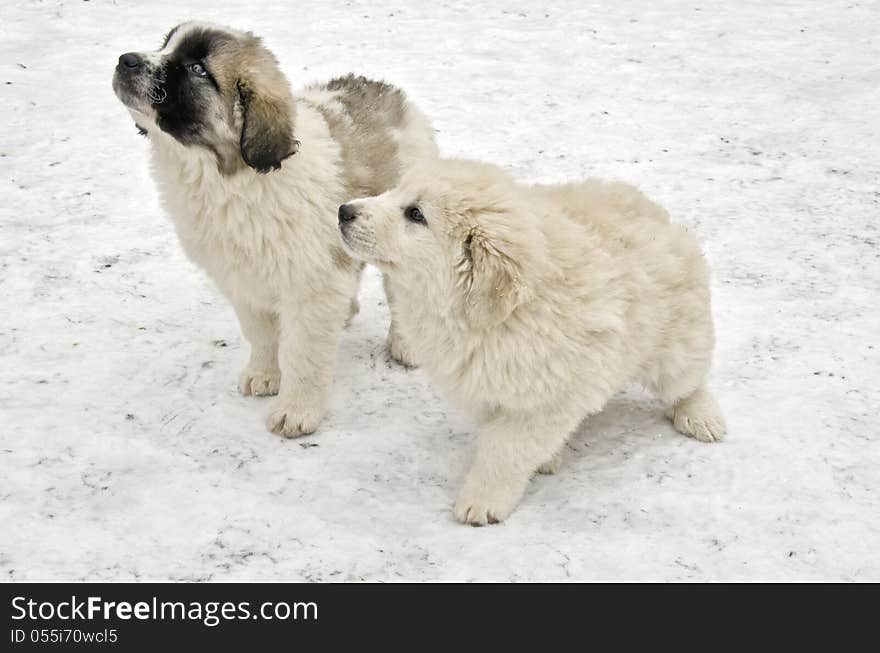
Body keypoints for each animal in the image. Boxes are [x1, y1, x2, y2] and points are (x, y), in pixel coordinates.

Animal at [113, 22, 436, 436]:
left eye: (198, 69)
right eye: (164, 44)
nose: (125, 59)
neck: (228, 174)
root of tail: (390, 92)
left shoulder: (310, 286)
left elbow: (302, 353)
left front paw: (296, 410)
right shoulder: (244, 281)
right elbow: (261, 334)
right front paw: (265, 374)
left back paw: (404, 344)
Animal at [336, 159, 720, 524]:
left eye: (415, 214)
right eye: (397, 191)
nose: (343, 211)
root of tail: (647, 204)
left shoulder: (541, 401)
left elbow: (504, 451)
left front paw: (482, 502)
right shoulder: (483, 386)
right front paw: (547, 458)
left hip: (674, 344)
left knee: (689, 380)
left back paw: (700, 418)